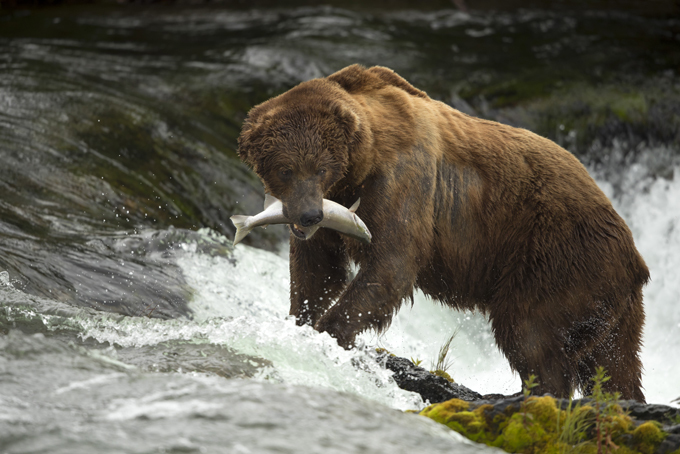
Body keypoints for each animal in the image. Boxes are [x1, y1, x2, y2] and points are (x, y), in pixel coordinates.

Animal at [237, 64, 649, 402]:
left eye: (321, 168)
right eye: (285, 169)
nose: (308, 215)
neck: (358, 168)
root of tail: (635, 256)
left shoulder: (403, 181)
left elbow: (392, 263)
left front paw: (328, 331)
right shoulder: (333, 216)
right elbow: (317, 271)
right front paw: (301, 319)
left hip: (554, 257)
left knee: (530, 332)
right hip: (610, 301)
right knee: (613, 362)